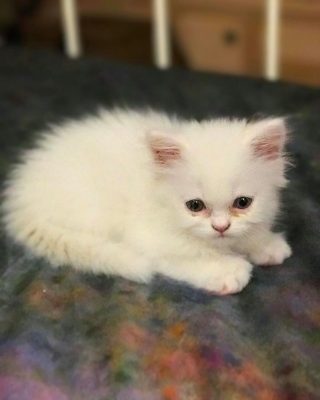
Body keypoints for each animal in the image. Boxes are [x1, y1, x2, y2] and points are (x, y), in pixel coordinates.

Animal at [3, 109, 292, 294]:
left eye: (242, 203)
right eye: (195, 206)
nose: (220, 227)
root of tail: (21, 195)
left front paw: (264, 243)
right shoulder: (146, 237)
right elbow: (184, 256)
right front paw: (225, 270)